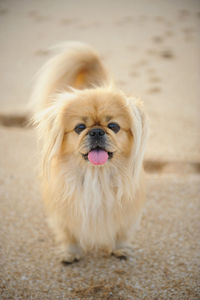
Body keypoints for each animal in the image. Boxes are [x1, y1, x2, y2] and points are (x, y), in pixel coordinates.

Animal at [31, 41, 148, 262]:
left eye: (113, 126)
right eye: (79, 128)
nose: (96, 131)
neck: (96, 175)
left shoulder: (126, 212)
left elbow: (122, 232)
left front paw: (120, 249)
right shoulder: (64, 213)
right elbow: (69, 234)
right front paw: (70, 253)